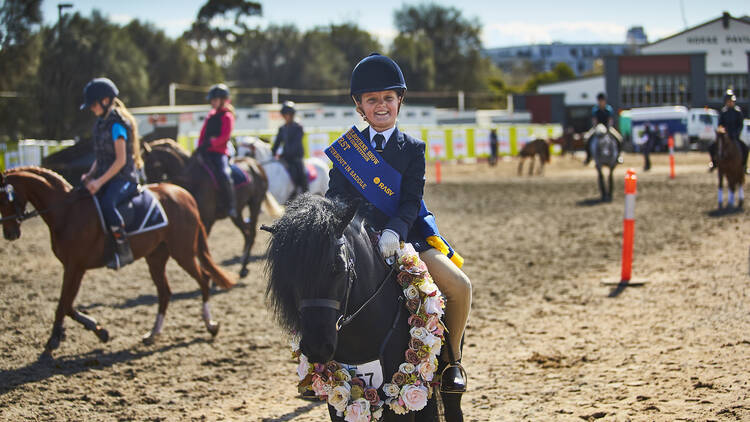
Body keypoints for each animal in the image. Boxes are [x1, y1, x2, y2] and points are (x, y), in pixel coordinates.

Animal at [0, 166, 235, 358]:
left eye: (5, 198)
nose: (9, 233)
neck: (67, 212)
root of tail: (182, 193)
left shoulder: (75, 266)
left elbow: (63, 304)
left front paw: (55, 339)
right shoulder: (72, 267)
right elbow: (67, 304)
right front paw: (99, 330)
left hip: (183, 251)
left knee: (203, 279)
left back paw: (210, 325)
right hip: (156, 257)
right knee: (165, 292)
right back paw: (153, 333)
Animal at [141, 138, 280, 276]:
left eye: (154, 166)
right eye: (144, 169)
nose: (152, 189)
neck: (192, 179)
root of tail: (255, 164)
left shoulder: (206, 221)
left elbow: (203, 253)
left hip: (254, 205)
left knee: (251, 234)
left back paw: (243, 266)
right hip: (237, 213)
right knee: (246, 232)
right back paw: (243, 266)